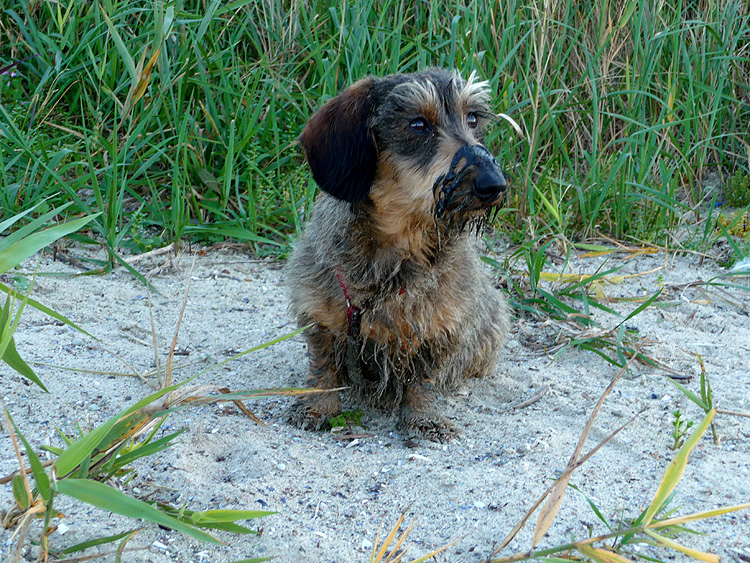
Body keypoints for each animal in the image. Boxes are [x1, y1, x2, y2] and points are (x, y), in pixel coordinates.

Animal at [286, 69, 512, 440]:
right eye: (418, 124)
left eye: (473, 118)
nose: (495, 185)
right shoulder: (320, 314)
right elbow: (324, 366)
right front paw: (318, 407)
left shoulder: (441, 330)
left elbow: (424, 379)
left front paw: (423, 418)